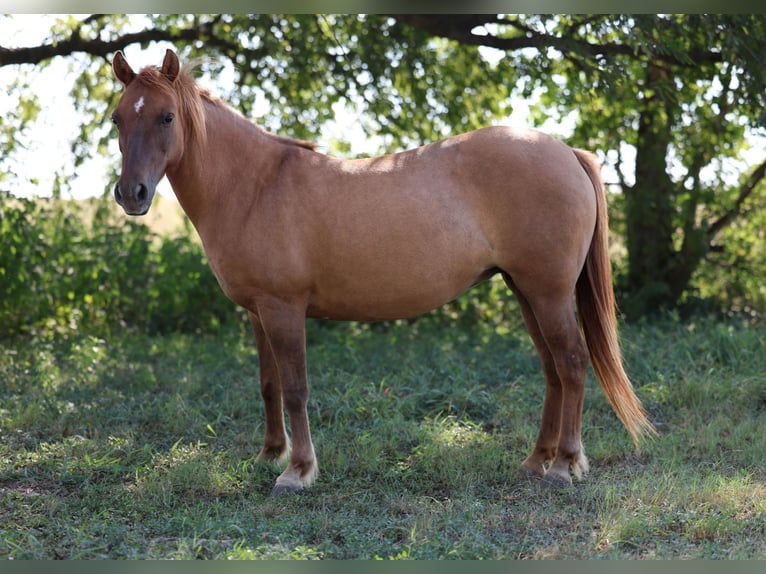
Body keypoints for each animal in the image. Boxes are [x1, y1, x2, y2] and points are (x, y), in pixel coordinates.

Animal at [110, 49, 655, 495]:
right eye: (117, 118)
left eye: (167, 116)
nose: (131, 194)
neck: (255, 185)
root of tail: (567, 152)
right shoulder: (257, 312)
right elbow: (268, 384)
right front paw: (269, 455)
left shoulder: (284, 309)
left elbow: (295, 388)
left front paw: (298, 471)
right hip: (526, 291)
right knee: (552, 370)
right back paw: (535, 461)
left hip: (548, 292)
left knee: (572, 363)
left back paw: (564, 464)